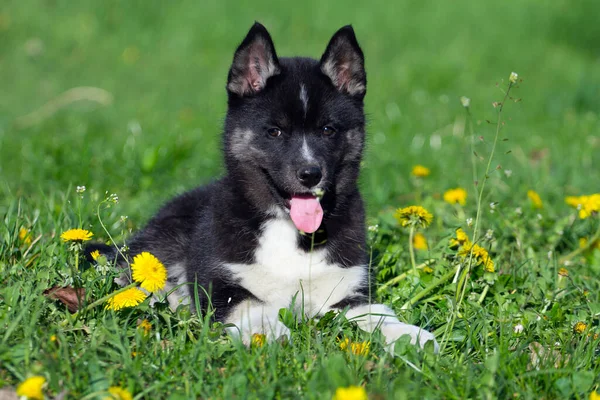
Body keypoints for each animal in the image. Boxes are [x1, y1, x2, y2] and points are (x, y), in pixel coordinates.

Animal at [97, 22, 436, 350]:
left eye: (328, 129)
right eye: (274, 132)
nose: (310, 174)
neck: (289, 232)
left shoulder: (345, 290)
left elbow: (376, 314)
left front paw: (409, 336)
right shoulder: (222, 282)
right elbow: (251, 305)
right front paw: (269, 332)